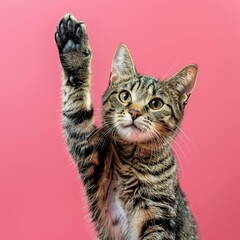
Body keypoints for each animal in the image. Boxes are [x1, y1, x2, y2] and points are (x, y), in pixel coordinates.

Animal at [54, 14, 199, 239]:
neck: (132, 158)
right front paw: (73, 50)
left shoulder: (158, 217)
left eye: (155, 103)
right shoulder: (87, 146)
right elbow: (76, 107)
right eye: (124, 96)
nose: (135, 112)